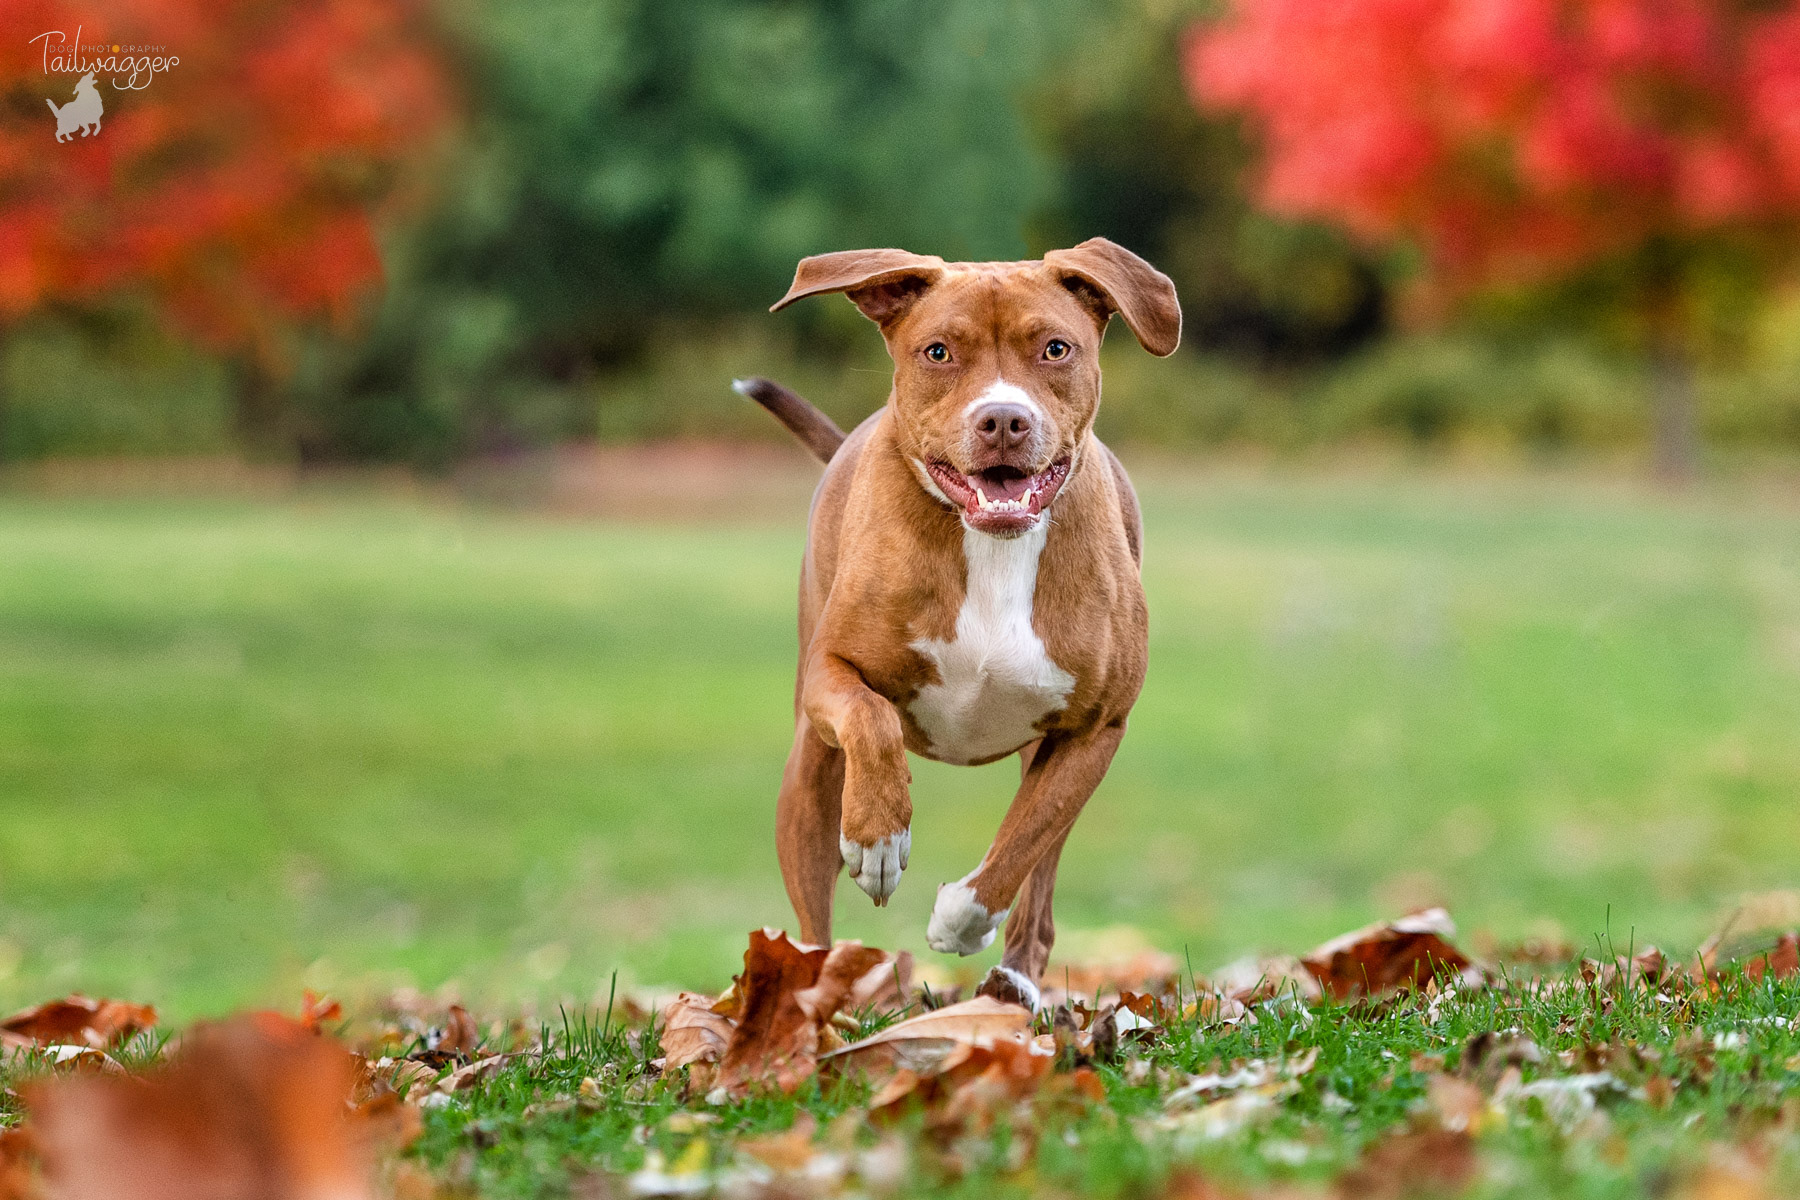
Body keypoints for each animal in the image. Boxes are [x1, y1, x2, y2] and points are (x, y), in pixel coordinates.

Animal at [734, 239, 1180, 1007]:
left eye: (1055, 347)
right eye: (938, 351)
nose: (1003, 419)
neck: (992, 544)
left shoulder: (1096, 729)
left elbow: (1023, 841)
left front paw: (961, 921)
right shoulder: (832, 672)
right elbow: (870, 717)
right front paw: (879, 841)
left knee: (1039, 892)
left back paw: (1014, 984)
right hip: (809, 768)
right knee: (813, 907)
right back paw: (805, 998)